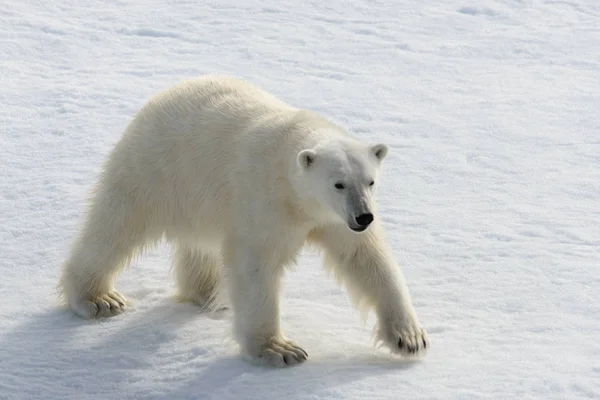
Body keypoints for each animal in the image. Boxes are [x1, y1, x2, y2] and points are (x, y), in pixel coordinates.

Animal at [58, 74, 428, 366]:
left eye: (370, 180)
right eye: (338, 183)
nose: (364, 216)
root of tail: (165, 93)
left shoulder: (334, 220)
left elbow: (366, 258)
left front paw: (410, 338)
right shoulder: (264, 202)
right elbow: (256, 267)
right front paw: (279, 350)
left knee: (200, 244)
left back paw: (209, 294)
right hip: (156, 169)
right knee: (116, 226)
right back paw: (98, 299)